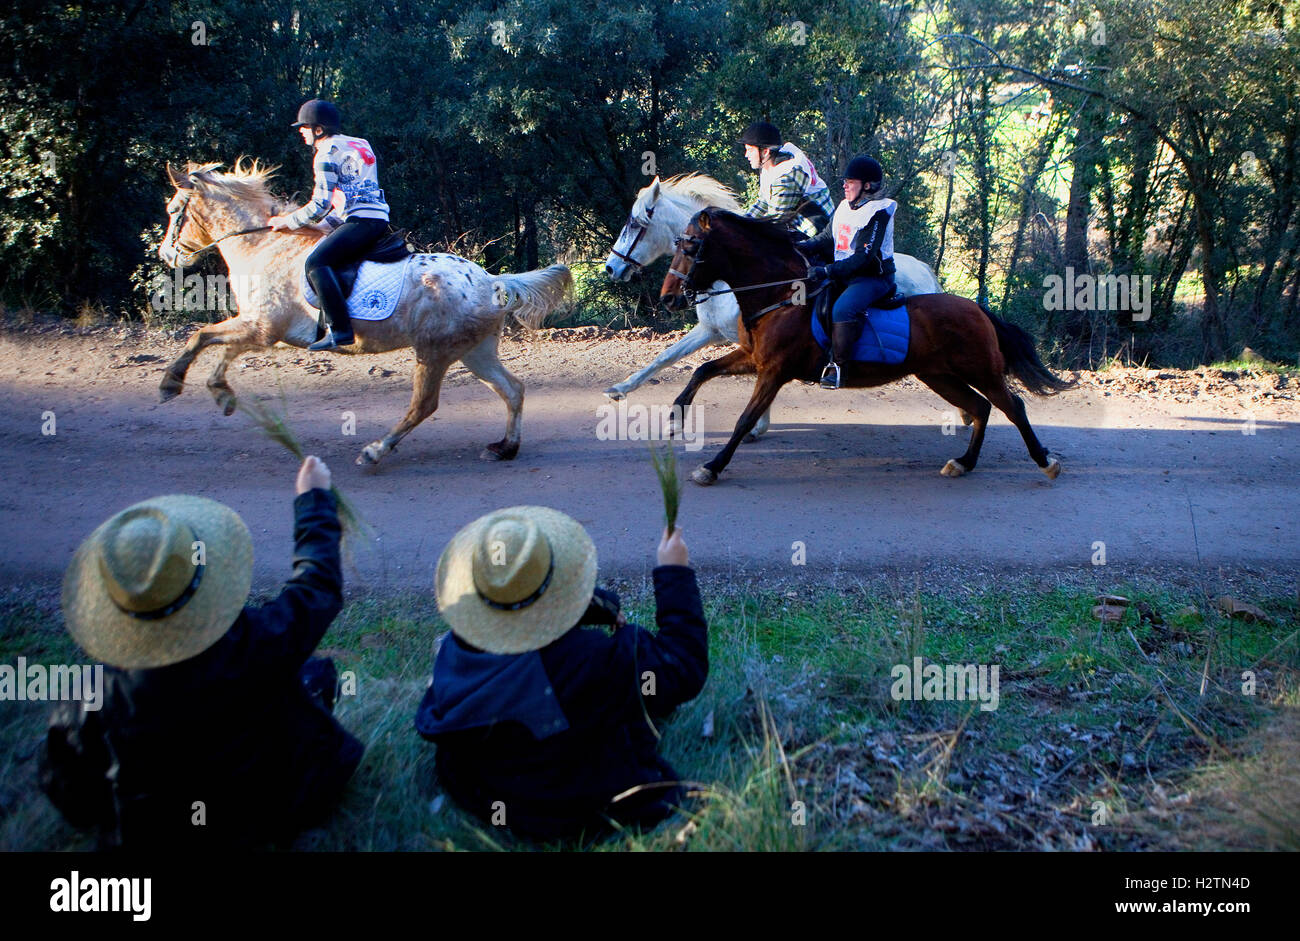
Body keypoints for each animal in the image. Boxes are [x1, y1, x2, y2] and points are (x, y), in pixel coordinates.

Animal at [153, 165, 569, 467]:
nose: (166, 254)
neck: (263, 244)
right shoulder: (257, 327)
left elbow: (201, 335)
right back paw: (505, 447)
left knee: (424, 405)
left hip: (433, 352)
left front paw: (172, 383)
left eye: (173, 211)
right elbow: (221, 347)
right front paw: (220, 393)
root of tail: (489, 281)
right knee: (512, 389)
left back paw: (375, 450)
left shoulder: (262, 327)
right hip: (475, 351)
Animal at [603, 174, 941, 439]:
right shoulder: (711, 330)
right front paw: (621, 388)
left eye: (634, 223)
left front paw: (757, 425)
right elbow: (666, 357)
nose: (610, 268)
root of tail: (926, 272)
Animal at [660, 210, 1076, 488]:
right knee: (980, 408)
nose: (667, 298)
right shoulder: (754, 359)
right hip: (938, 376)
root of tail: (976, 308)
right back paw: (963, 463)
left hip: (981, 370)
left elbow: (745, 419)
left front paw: (712, 467)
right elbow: (703, 370)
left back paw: (1045, 462)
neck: (781, 295)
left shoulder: (774, 371)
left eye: (691, 247)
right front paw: (676, 416)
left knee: (1011, 406)